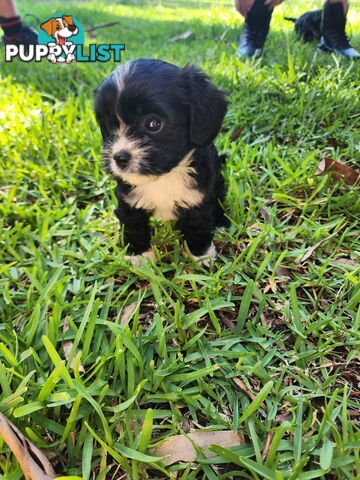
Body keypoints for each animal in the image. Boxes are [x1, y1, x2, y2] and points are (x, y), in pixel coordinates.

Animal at [95, 58, 228, 264]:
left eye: (154, 123)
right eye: (109, 126)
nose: (119, 157)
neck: (164, 177)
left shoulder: (199, 196)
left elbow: (198, 225)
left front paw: (199, 255)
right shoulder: (128, 199)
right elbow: (133, 225)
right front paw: (139, 256)